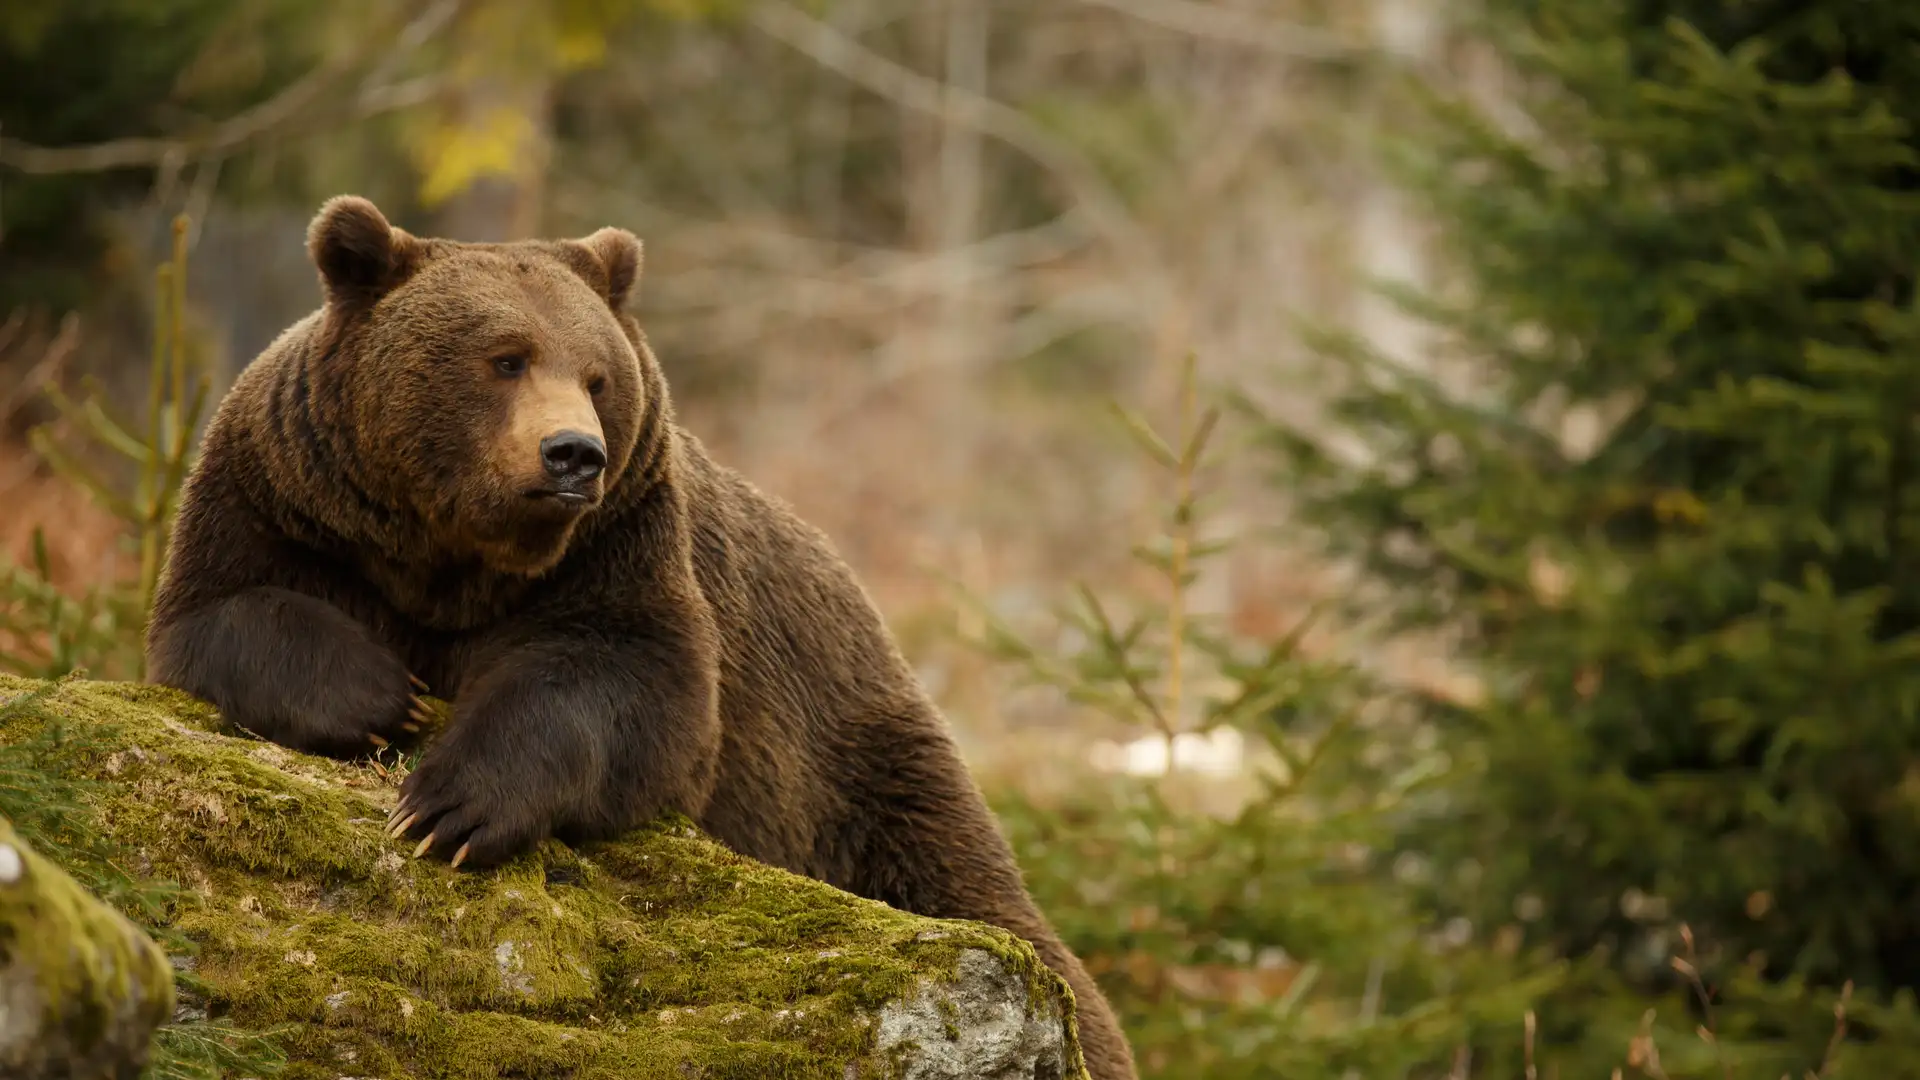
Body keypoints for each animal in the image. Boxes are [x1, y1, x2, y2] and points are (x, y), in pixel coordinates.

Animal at [145, 195, 1137, 1080]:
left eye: (597, 376)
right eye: (505, 358)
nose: (572, 454)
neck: (454, 557)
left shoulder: (621, 548)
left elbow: (629, 688)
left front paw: (449, 806)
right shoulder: (288, 499)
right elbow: (223, 613)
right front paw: (384, 696)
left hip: (854, 767)